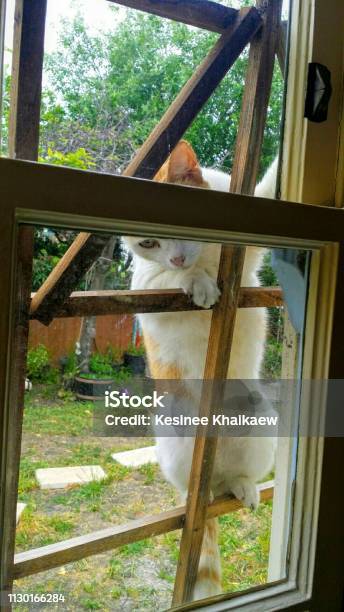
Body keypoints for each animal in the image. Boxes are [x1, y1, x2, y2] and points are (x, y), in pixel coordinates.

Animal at [123, 141, 276, 600]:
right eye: (148, 242)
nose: (175, 254)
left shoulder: (249, 254)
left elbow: (271, 183)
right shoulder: (145, 288)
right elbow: (170, 277)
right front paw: (199, 281)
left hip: (261, 418)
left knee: (232, 481)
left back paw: (242, 486)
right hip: (175, 438)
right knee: (197, 492)